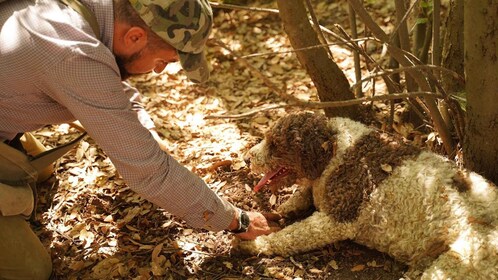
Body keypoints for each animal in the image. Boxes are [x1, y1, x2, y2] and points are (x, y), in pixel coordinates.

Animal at [237, 112, 498, 280]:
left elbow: (290, 236)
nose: (247, 158)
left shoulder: (336, 220)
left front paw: (253, 244)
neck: (336, 150)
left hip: (457, 261)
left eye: (275, 144)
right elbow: (306, 193)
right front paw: (288, 206)